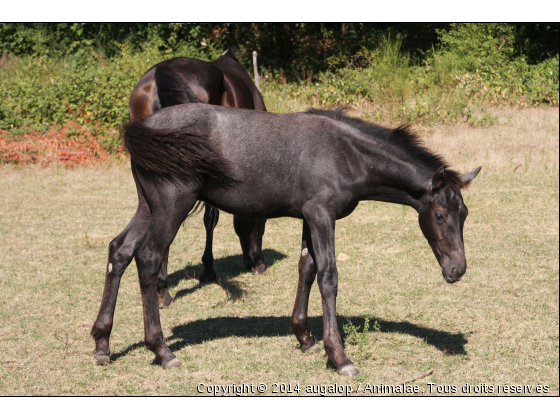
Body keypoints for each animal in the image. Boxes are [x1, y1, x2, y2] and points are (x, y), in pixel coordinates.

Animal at [92, 103, 482, 376]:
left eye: (464, 214)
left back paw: (102, 343)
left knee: (119, 251)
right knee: (148, 259)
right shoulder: (322, 215)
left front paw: (304, 338)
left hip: (148, 206)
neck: (346, 153)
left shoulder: (310, 217)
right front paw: (339, 356)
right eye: (440, 215)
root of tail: (141, 127)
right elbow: (328, 276)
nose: (457, 270)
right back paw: (161, 350)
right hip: (172, 206)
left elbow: (307, 268)